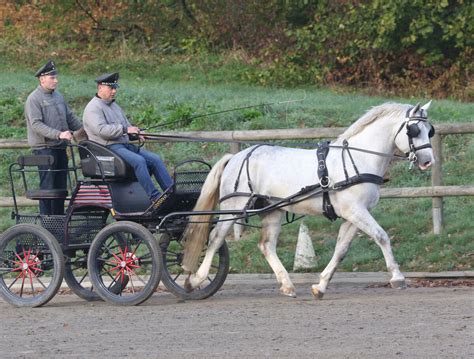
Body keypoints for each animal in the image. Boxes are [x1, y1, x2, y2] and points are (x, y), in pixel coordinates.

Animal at [183, 102, 436, 300]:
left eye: (429, 130)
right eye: (414, 130)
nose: (428, 161)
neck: (358, 158)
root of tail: (236, 156)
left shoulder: (353, 216)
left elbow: (341, 249)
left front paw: (320, 286)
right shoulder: (355, 211)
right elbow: (382, 236)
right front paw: (398, 277)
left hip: (272, 210)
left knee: (266, 245)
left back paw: (287, 285)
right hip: (233, 208)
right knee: (215, 238)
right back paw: (195, 279)